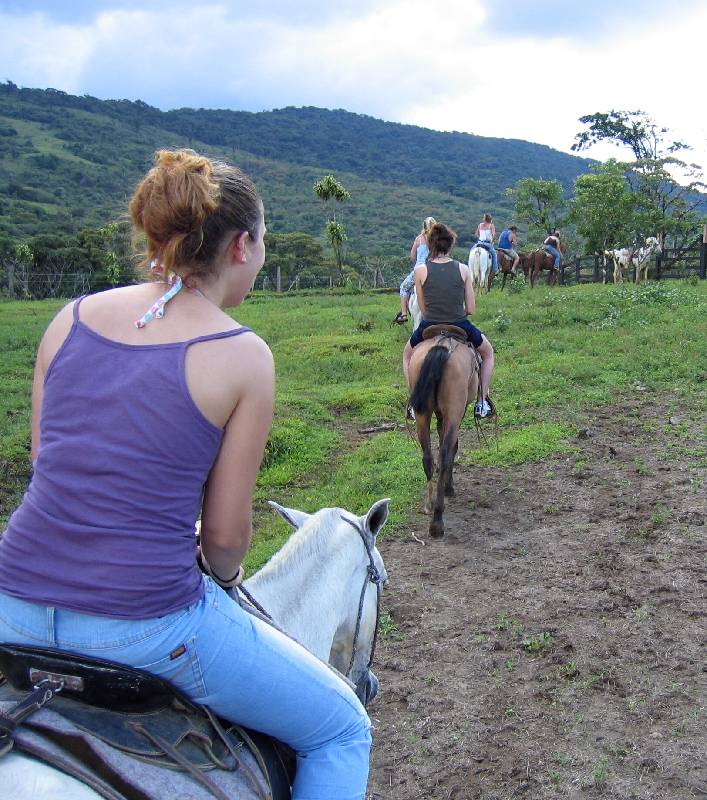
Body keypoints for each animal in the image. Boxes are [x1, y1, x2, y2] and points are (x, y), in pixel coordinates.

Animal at [406, 324, 478, 536]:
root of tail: (442, 345)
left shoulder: (439, 412)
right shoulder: (457, 412)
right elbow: (453, 446)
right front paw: (449, 487)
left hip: (423, 413)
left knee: (428, 456)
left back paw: (430, 506)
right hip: (454, 409)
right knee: (445, 453)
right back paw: (437, 520)